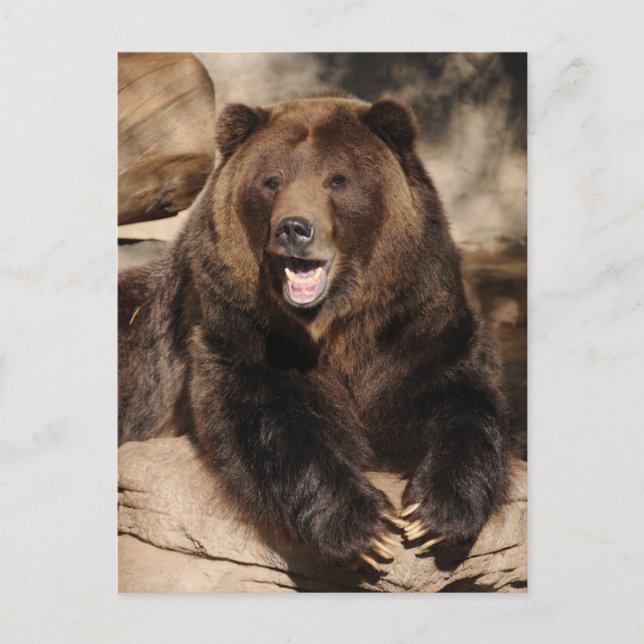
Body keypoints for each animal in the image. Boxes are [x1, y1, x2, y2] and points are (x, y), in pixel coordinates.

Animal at [118, 91, 509, 571]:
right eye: (271, 180)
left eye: (337, 179)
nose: (294, 229)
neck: (338, 326)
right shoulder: (241, 332)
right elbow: (274, 420)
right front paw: (365, 525)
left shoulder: (415, 325)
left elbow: (459, 401)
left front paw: (435, 514)